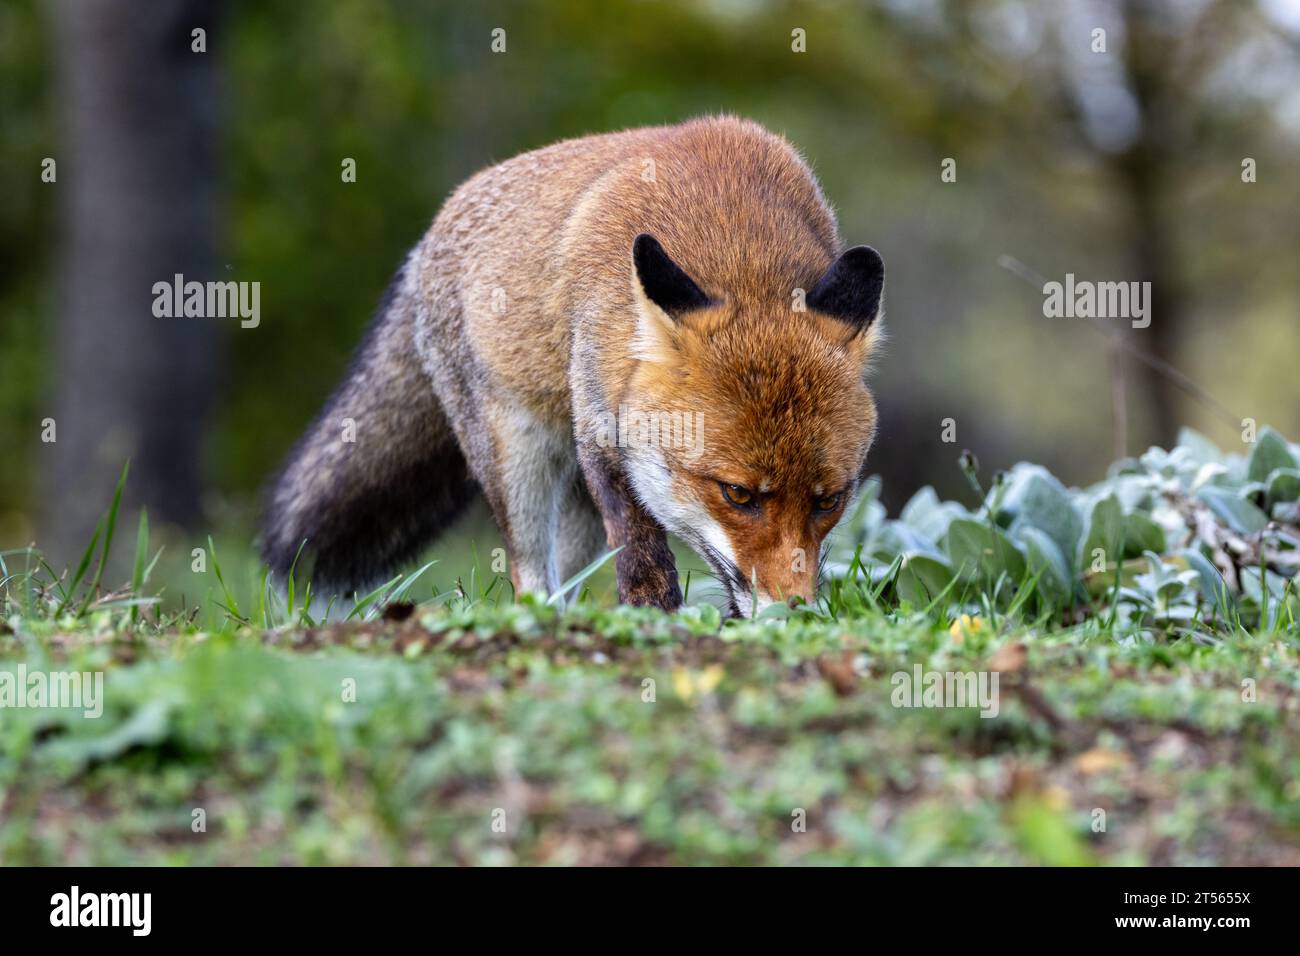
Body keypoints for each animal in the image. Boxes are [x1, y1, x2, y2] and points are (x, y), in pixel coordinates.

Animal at [263, 116, 885, 617]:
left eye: (829, 501)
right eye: (737, 494)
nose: (795, 612)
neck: (735, 242)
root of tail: (430, 234)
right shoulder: (601, 429)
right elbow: (641, 552)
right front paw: (655, 619)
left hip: (573, 500)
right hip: (518, 458)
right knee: (529, 573)